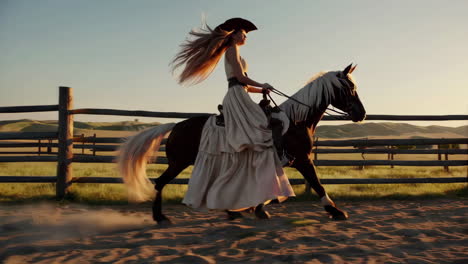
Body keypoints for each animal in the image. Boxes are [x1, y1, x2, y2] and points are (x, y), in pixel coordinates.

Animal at [117, 63, 366, 224]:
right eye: (349, 88)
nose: (361, 114)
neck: (297, 121)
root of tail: (177, 125)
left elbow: (269, 187)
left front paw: (259, 209)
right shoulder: (303, 160)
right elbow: (317, 184)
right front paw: (336, 211)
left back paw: (230, 212)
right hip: (179, 162)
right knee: (160, 182)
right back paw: (160, 217)